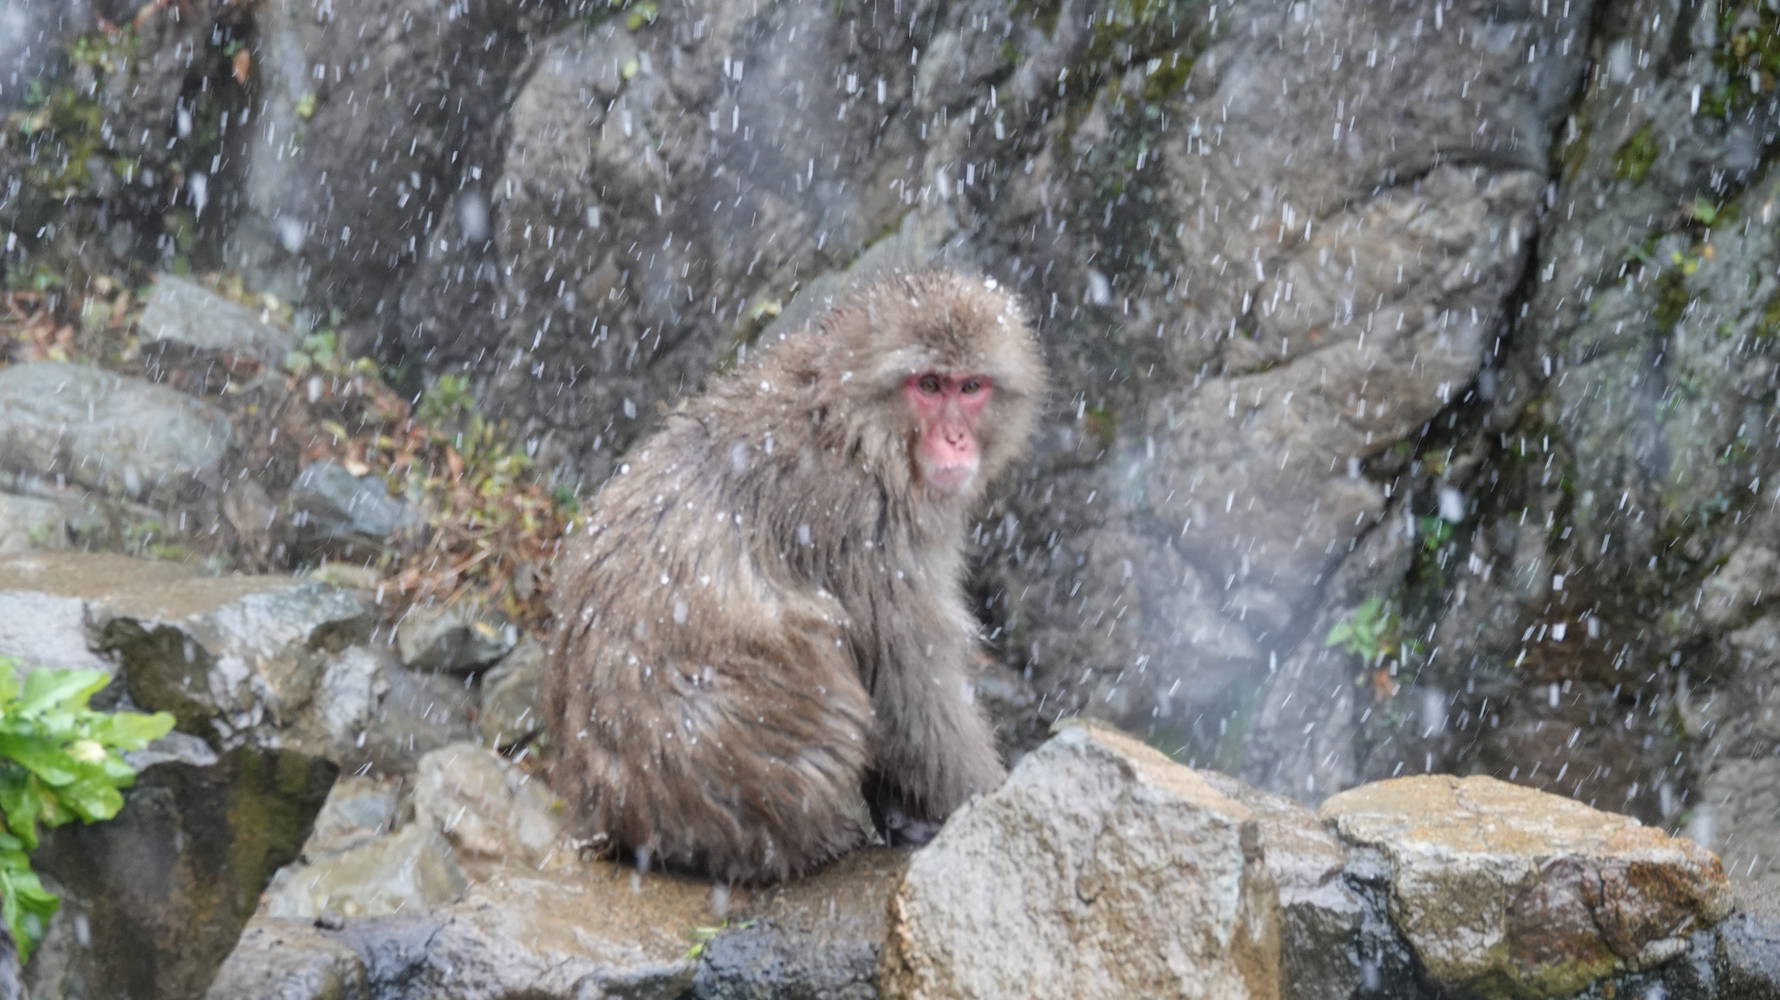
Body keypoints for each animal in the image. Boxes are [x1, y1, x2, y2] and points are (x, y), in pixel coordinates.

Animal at [541, 266, 1039, 879]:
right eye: (929, 385)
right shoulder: (863, 525)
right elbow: (908, 684)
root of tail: (612, 816)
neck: (851, 421)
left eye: (970, 388)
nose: (955, 440)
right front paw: (983, 801)